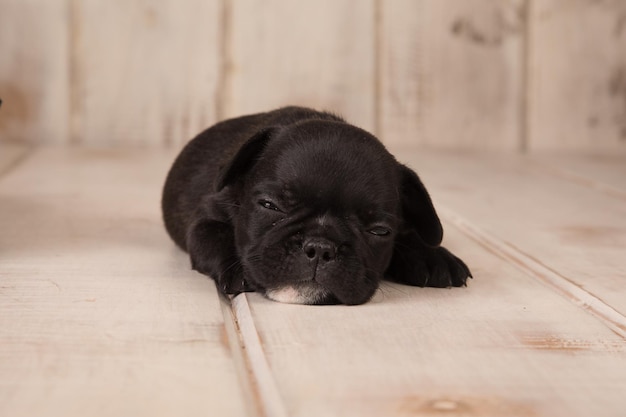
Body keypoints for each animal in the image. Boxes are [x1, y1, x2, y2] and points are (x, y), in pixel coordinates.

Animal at [161, 105, 468, 304]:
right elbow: (216, 236)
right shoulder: (206, 221)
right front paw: (238, 269)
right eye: (270, 205)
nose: (320, 247)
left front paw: (432, 256)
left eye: (379, 231)